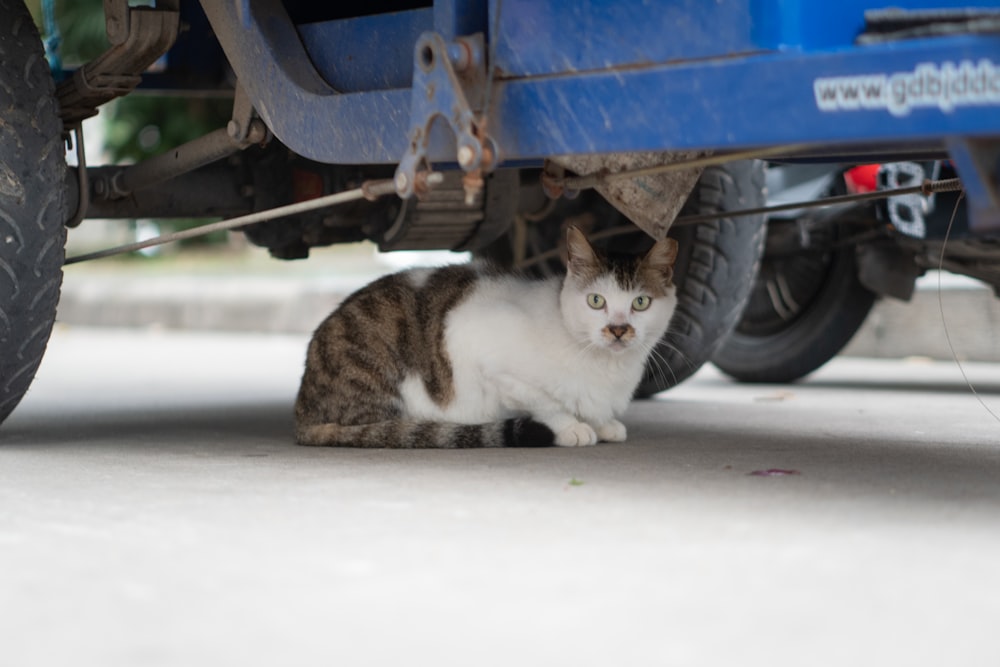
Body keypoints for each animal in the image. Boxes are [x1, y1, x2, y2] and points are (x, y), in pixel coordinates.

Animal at [292, 227, 676, 452]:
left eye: (640, 303)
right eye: (596, 301)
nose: (618, 328)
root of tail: (302, 413)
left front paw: (601, 422)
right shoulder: (478, 345)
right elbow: (546, 403)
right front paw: (571, 427)